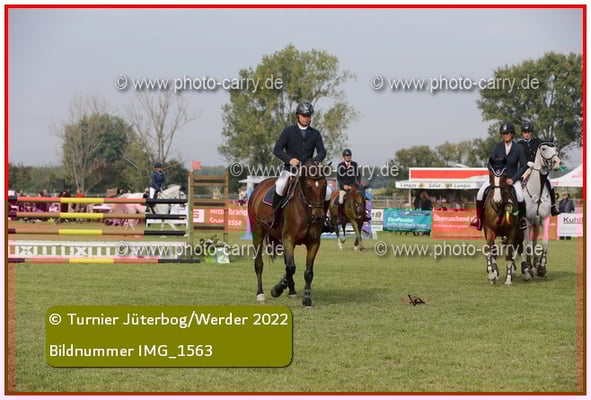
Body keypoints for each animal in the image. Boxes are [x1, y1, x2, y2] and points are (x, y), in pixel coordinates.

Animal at [247, 161, 328, 307]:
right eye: (308, 187)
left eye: (324, 185)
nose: (319, 216)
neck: (305, 210)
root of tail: (259, 186)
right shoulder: (288, 239)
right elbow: (290, 268)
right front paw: (276, 289)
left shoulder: (313, 243)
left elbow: (307, 272)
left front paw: (307, 299)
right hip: (258, 233)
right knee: (259, 263)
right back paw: (260, 294)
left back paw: (291, 291)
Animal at [482, 158, 524, 286]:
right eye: (490, 175)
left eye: (504, 176)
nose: (497, 200)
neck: (499, 208)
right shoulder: (490, 231)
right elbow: (488, 250)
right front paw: (492, 275)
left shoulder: (511, 232)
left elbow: (509, 254)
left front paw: (508, 279)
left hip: (519, 233)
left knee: (520, 248)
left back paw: (526, 272)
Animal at [521, 142, 561, 279]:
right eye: (544, 148)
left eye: (555, 149)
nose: (557, 162)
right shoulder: (526, 221)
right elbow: (527, 246)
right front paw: (528, 269)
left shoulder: (544, 219)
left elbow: (544, 242)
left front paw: (541, 267)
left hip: (536, 223)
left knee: (534, 241)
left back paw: (535, 262)